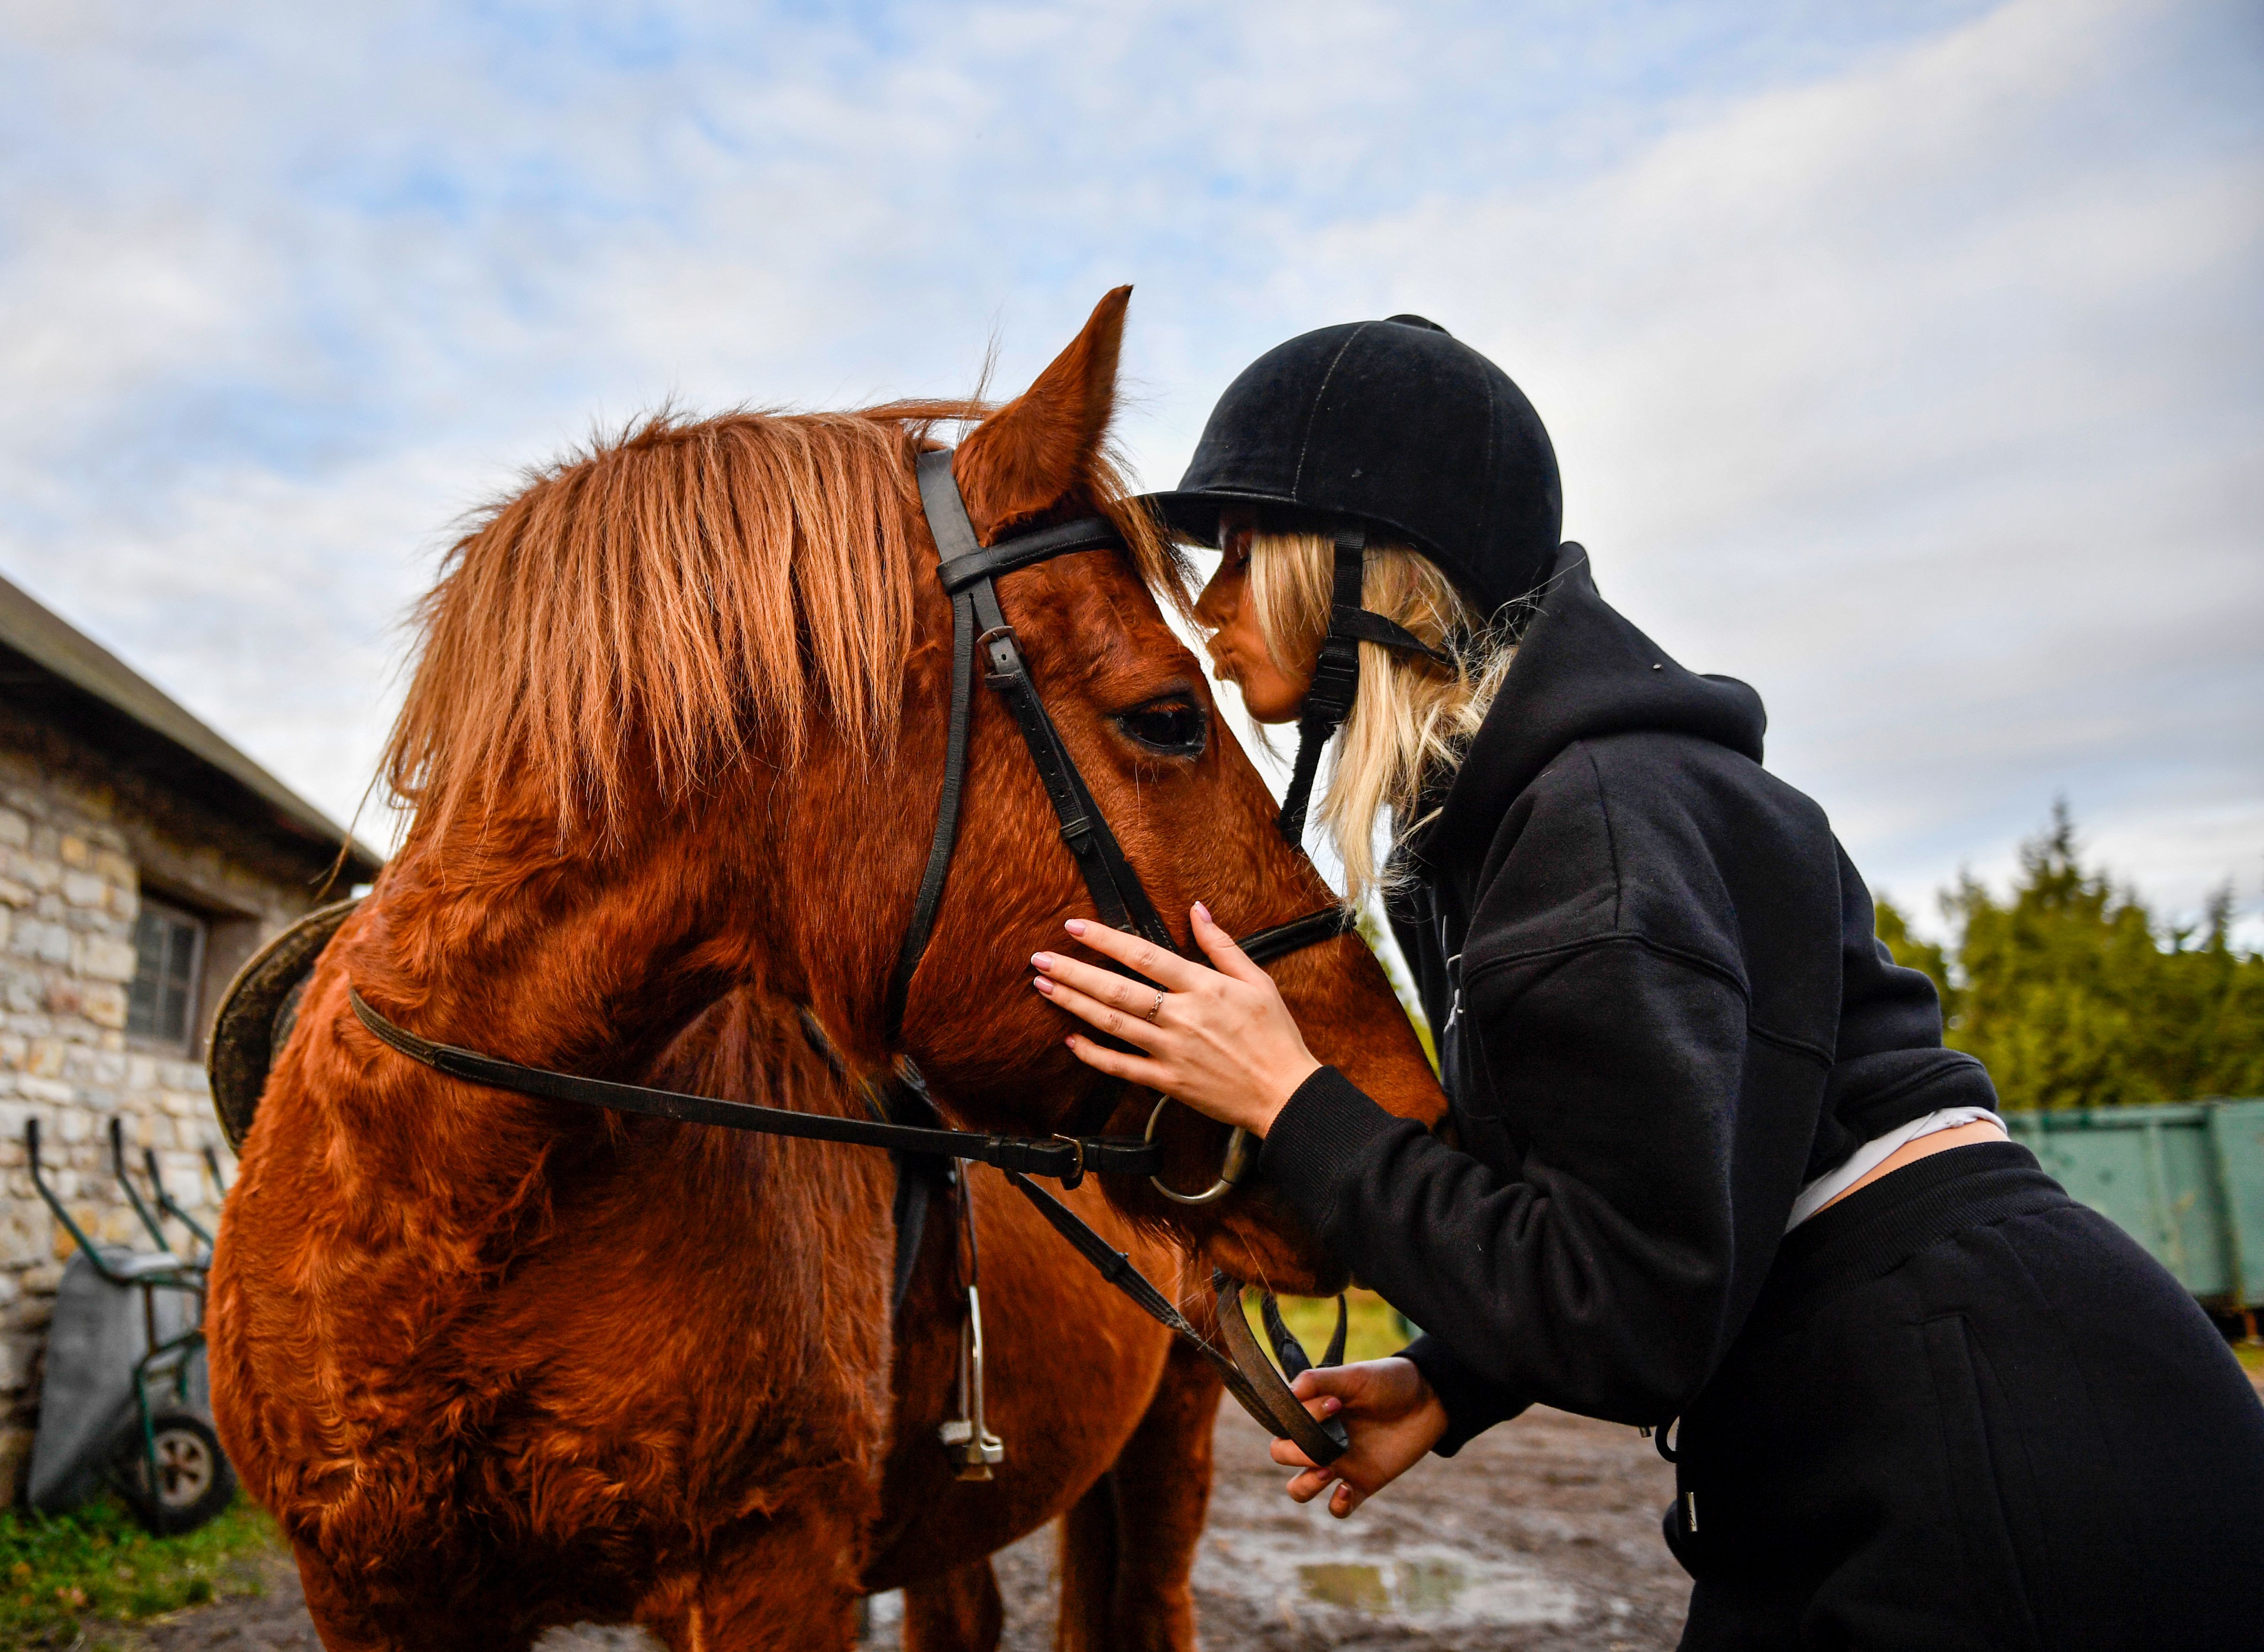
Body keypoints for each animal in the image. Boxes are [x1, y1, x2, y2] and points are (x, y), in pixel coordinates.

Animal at [206, 286, 1447, 1650]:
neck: (471, 1197)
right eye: (1168, 717)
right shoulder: (377, 1593)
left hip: (1170, 1438)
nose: (1408, 1110)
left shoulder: (773, 1571)